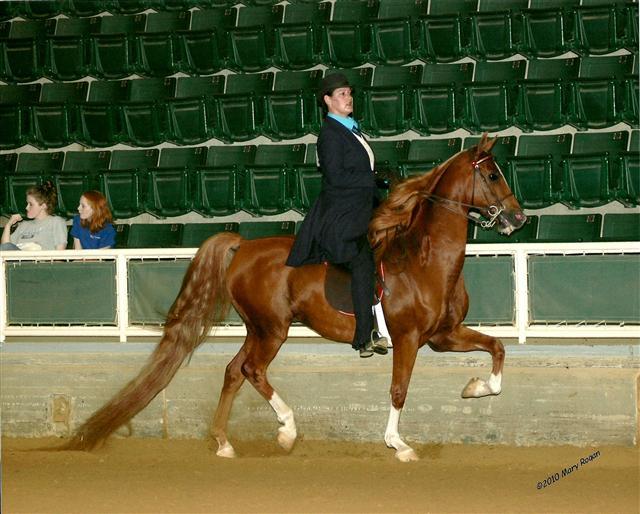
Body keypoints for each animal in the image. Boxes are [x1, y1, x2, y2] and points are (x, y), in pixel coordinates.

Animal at [62, 132, 528, 460]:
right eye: (492, 175)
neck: (424, 258)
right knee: (251, 370)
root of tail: (242, 247)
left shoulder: (443, 335)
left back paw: (224, 442)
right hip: (272, 329)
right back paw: (286, 429)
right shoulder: (409, 339)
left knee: (234, 372)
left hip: (259, 328)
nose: (519, 218)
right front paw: (399, 445)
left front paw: (476, 388)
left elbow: (497, 347)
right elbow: (399, 391)